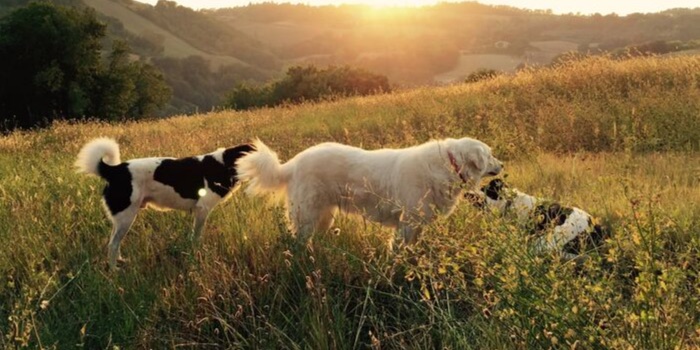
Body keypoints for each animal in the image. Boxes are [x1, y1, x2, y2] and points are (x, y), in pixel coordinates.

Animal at [237, 137, 504, 243]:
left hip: (323, 216)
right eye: (491, 155)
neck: (449, 165)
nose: (502, 165)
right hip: (307, 217)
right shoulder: (407, 224)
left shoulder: (418, 225)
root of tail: (291, 164)